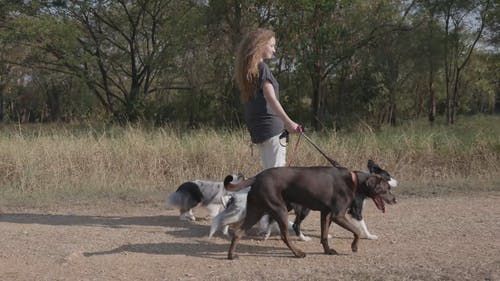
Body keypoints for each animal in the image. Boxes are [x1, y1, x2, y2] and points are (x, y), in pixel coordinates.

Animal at [225, 165, 396, 260]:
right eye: (386, 188)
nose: (394, 200)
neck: (354, 181)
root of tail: (257, 177)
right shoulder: (338, 215)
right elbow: (357, 230)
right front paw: (354, 246)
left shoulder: (326, 214)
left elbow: (324, 235)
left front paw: (328, 251)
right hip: (279, 209)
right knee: (285, 236)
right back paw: (298, 253)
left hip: (256, 211)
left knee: (238, 232)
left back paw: (231, 256)